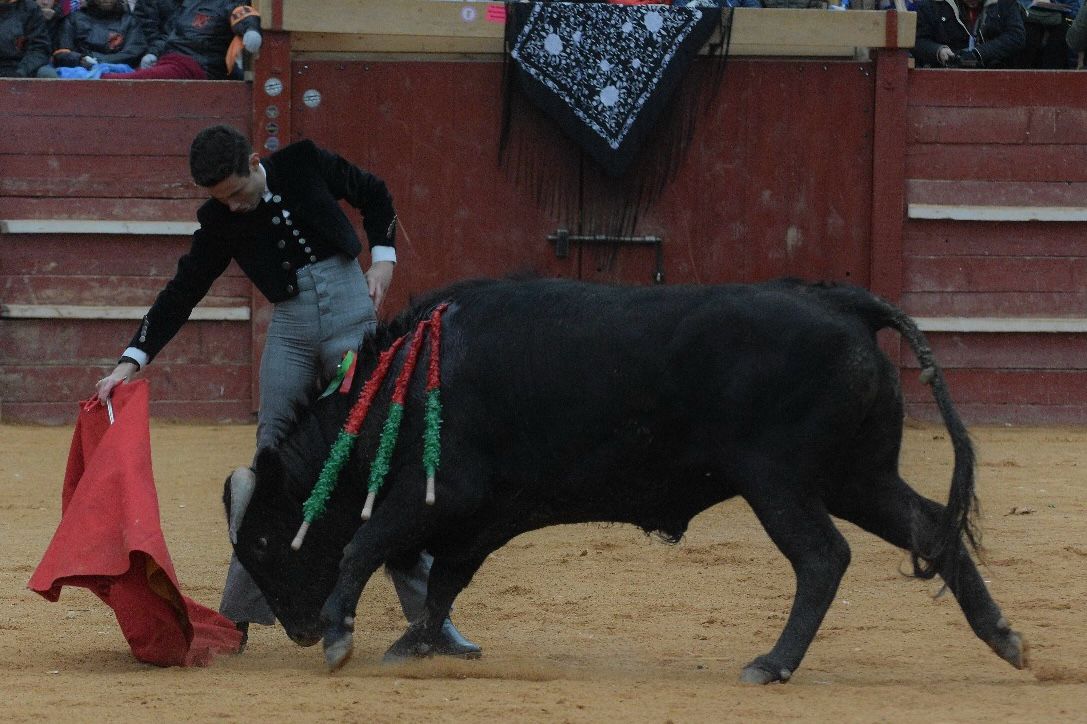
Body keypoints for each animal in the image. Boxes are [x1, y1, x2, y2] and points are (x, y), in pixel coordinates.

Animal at [229, 276, 1026, 678]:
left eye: (263, 543)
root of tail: (841, 301)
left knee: (823, 557)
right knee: (928, 526)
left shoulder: (446, 492)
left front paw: (342, 636)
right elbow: (447, 576)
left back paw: (772, 664)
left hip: (779, 482)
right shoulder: (488, 512)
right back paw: (1003, 638)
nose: (298, 631)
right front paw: (416, 643)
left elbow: (364, 546)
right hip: (856, 476)